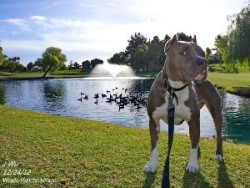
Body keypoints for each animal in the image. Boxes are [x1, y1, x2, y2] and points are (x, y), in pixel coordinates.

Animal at [144, 34, 224, 173]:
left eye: (203, 53)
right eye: (183, 53)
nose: (203, 61)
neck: (175, 89)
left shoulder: (194, 121)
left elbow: (193, 146)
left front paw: (193, 165)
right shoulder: (153, 121)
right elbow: (154, 145)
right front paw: (152, 164)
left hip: (217, 113)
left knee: (218, 135)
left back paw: (219, 154)